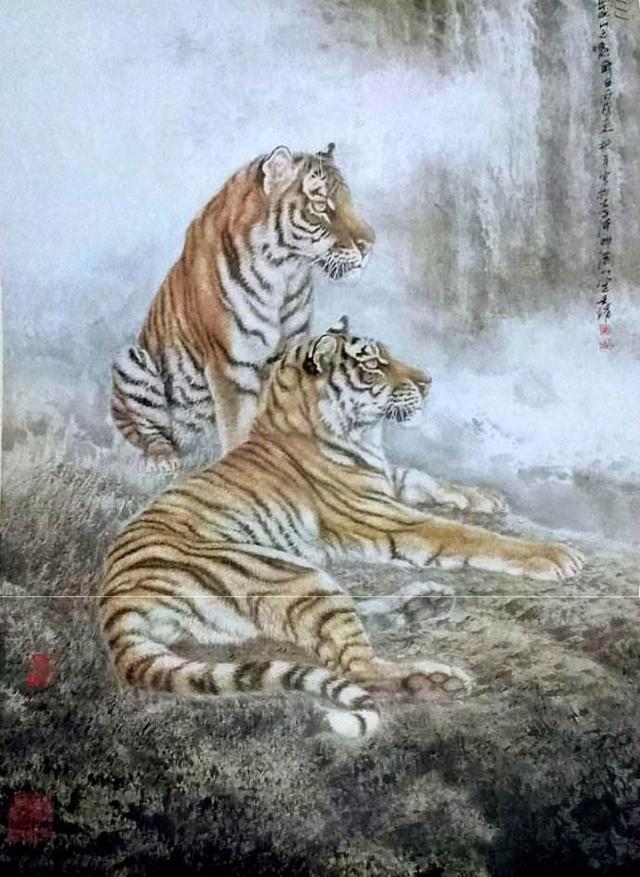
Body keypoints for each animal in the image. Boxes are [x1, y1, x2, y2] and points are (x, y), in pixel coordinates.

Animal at [100, 318, 585, 738]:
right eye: (373, 365)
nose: (428, 381)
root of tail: (114, 605)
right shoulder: (384, 515)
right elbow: (467, 536)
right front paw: (554, 555)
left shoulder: (389, 482)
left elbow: (427, 479)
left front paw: (484, 496)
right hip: (288, 574)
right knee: (355, 665)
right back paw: (433, 678)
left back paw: (425, 602)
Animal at [110, 143, 375, 466]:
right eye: (321, 204)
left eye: (350, 201)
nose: (370, 244)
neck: (285, 276)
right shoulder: (233, 366)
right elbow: (238, 429)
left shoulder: (289, 354)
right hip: (131, 360)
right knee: (146, 431)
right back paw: (163, 458)